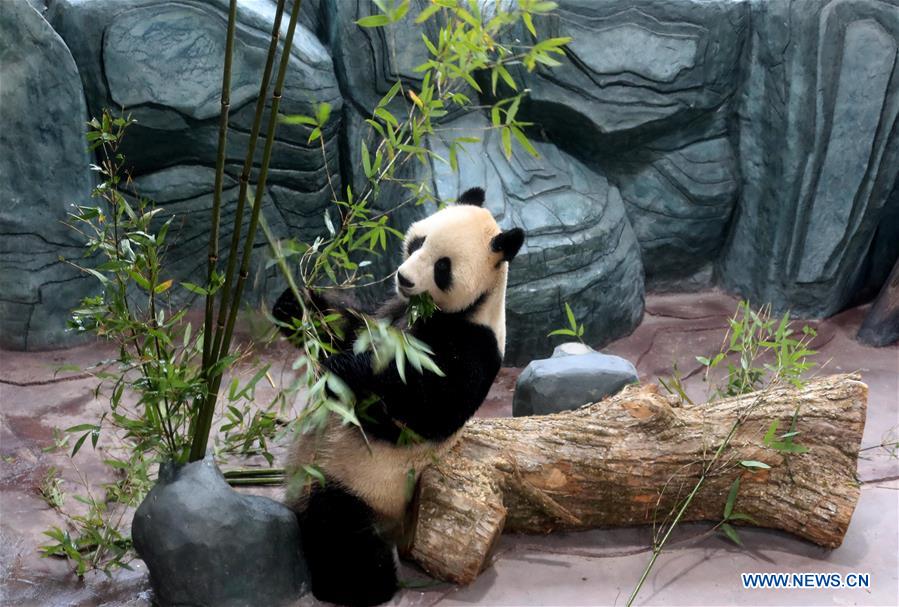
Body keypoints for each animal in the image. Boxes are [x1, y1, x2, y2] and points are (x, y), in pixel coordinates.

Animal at [272, 187, 524, 606]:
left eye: (442, 266)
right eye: (418, 241)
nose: (403, 278)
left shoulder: (473, 345)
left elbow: (419, 408)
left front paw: (344, 368)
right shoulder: (392, 312)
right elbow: (349, 326)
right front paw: (294, 304)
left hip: (360, 485)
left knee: (341, 534)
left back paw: (362, 584)